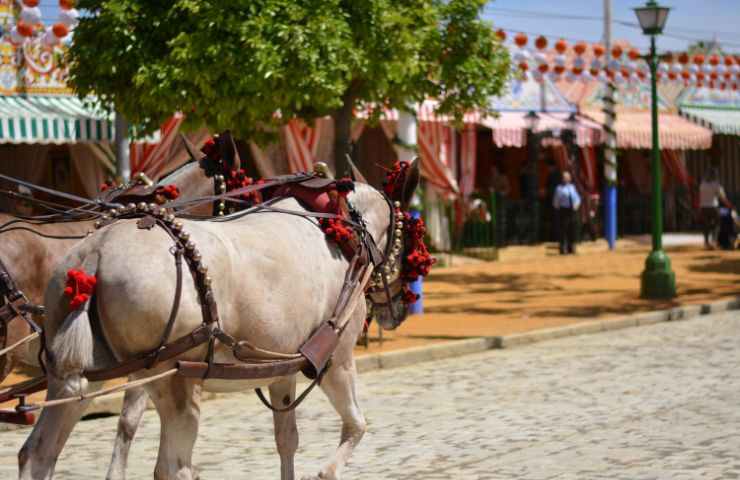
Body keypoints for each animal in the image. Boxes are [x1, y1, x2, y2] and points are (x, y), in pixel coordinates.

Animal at [17, 161, 420, 480]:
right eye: (413, 241)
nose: (400, 309)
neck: (344, 230)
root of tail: (94, 254)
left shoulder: (282, 371)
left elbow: (287, 441)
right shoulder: (336, 361)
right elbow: (356, 426)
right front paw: (326, 471)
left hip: (80, 377)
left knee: (38, 454)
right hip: (173, 379)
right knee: (174, 467)